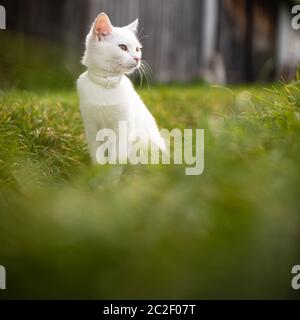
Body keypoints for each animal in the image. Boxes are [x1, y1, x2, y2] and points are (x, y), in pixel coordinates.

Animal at [77, 13, 165, 175]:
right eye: (122, 47)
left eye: (137, 49)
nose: (137, 58)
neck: (107, 84)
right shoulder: (91, 127)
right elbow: (97, 156)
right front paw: (97, 177)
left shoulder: (123, 129)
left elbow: (116, 159)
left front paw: (110, 180)